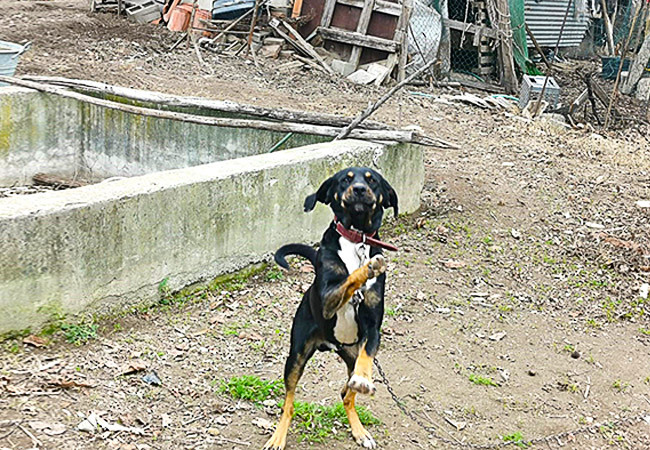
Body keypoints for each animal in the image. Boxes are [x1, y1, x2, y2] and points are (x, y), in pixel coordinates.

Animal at [262, 167, 394, 450]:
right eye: (345, 178)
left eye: (373, 180)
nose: (359, 189)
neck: (356, 240)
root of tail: (329, 344)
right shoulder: (328, 302)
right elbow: (349, 278)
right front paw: (367, 268)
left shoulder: (373, 326)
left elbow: (368, 355)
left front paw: (365, 378)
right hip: (297, 355)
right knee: (288, 404)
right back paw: (278, 437)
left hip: (350, 356)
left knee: (346, 393)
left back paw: (359, 430)